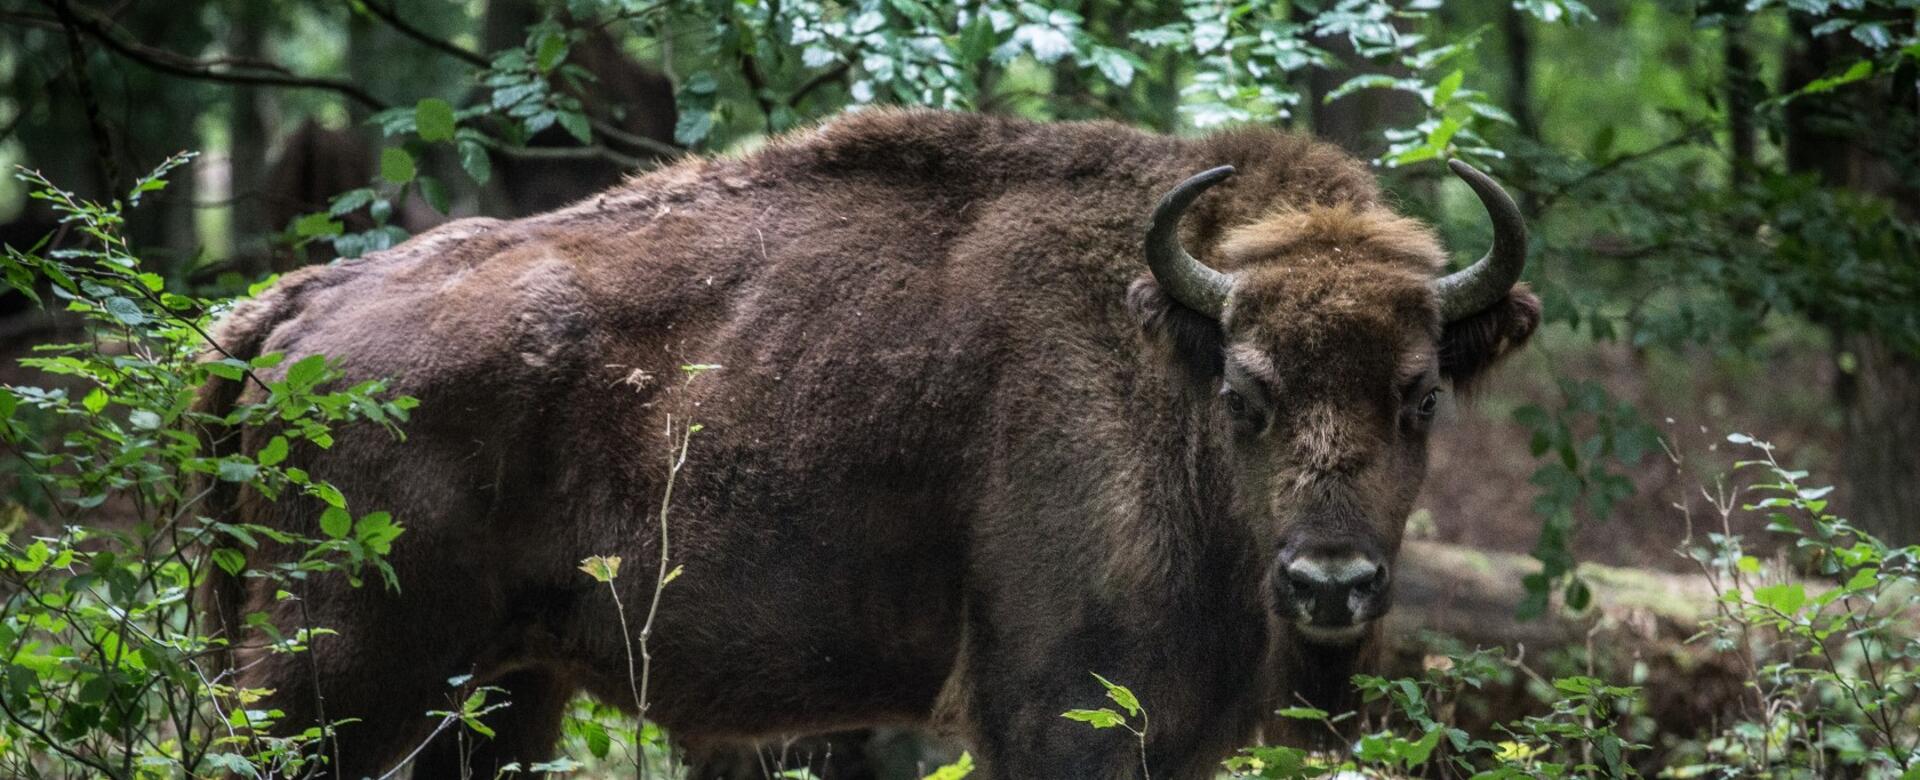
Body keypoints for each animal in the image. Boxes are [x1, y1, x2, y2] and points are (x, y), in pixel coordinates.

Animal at [198, 108, 1540, 779]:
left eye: (1420, 395)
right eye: (1248, 394)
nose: (1331, 584)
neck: (1164, 346)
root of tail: (297, 305)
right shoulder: (1062, 711)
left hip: (497, 692)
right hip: (342, 676)